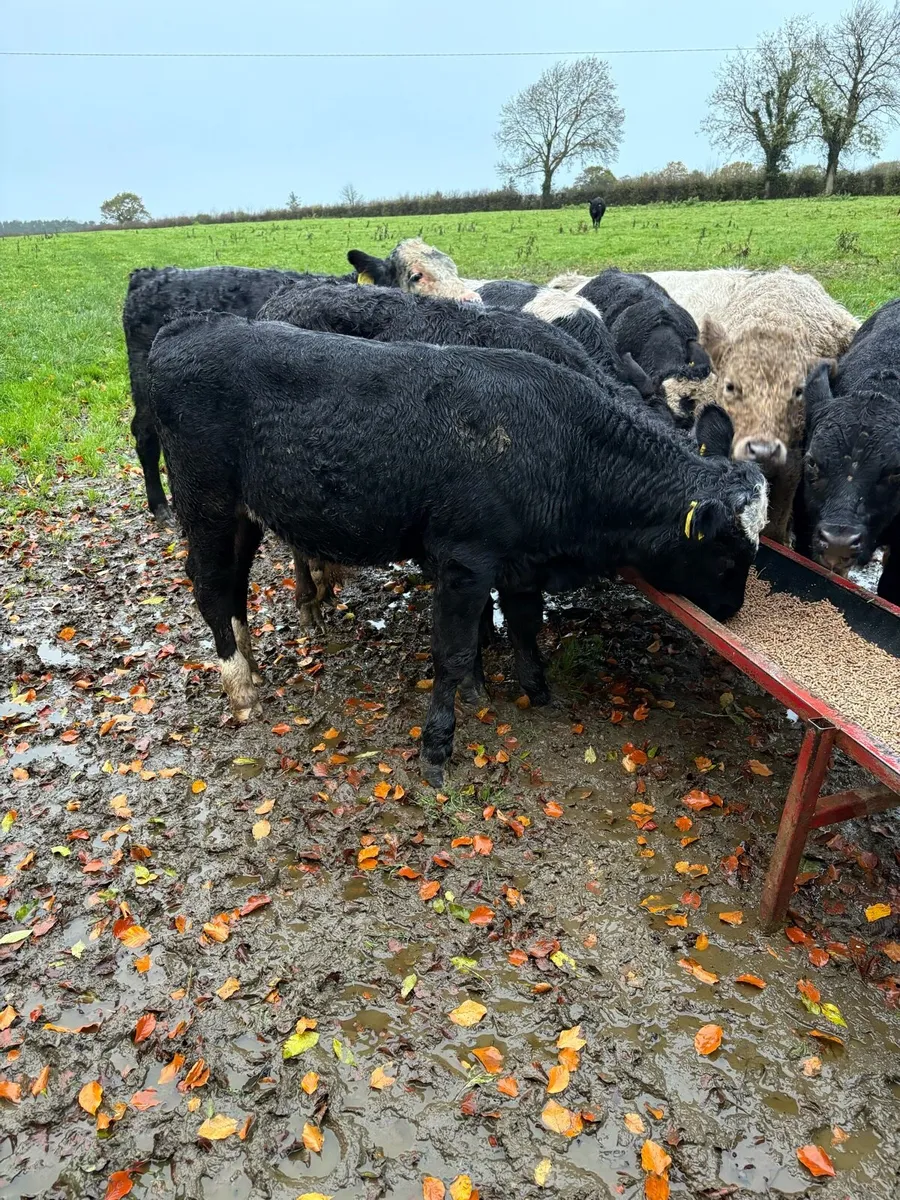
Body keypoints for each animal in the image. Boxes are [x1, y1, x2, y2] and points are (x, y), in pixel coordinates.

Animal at [148, 312, 766, 786]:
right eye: (728, 554)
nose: (734, 609)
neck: (560, 441)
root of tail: (191, 325)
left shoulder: (518, 563)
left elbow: (520, 624)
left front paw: (529, 687)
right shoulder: (463, 561)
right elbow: (453, 650)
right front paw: (438, 742)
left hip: (244, 515)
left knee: (234, 585)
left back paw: (251, 663)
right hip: (205, 504)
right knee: (209, 584)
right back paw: (240, 685)